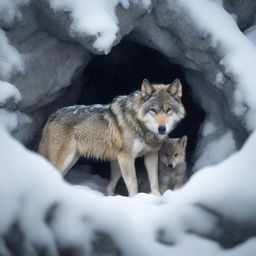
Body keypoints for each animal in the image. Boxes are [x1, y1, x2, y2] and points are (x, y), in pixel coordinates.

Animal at [38, 79, 185, 197]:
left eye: (168, 109)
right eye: (153, 110)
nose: (162, 128)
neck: (140, 126)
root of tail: (53, 114)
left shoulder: (150, 155)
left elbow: (154, 183)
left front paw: (156, 199)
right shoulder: (126, 158)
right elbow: (133, 185)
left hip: (72, 160)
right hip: (65, 160)